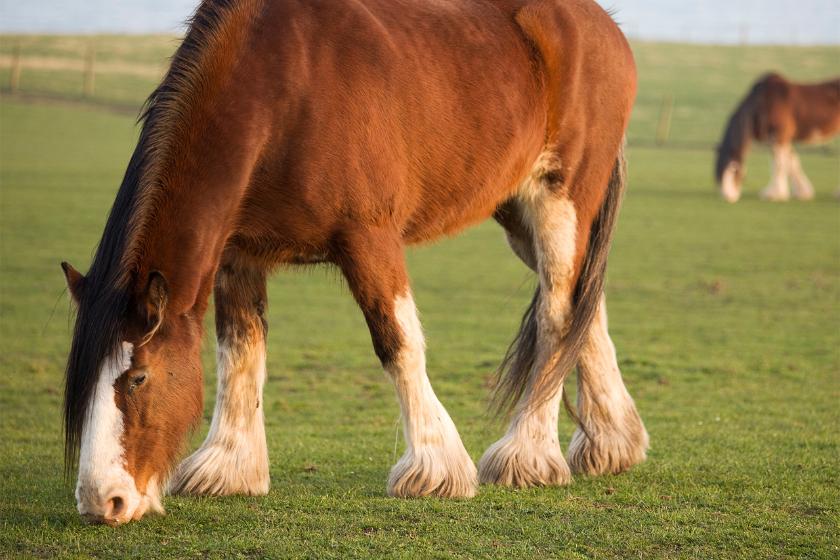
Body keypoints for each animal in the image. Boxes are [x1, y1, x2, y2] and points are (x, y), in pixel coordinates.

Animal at [62, 0, 648, 524]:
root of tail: (605, 25)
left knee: (557, 315)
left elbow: (398, 342)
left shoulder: (369, 238)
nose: (101, 503)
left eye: (138, 378)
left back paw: (528, 454)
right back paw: (611, 443)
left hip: (560, 200)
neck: (281, 90)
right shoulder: (238, 255)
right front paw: (229, 469)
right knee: (583, 304)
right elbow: (240, 353)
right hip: (518, 210)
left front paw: (435, 469)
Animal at [716, 73, 840, 202]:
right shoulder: (779, 138)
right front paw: (802, 192)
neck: (761, 102)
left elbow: (778, 164)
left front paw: (776, 194)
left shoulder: (779, 135)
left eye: (733, 168)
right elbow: (791, 161)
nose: (726, 196)